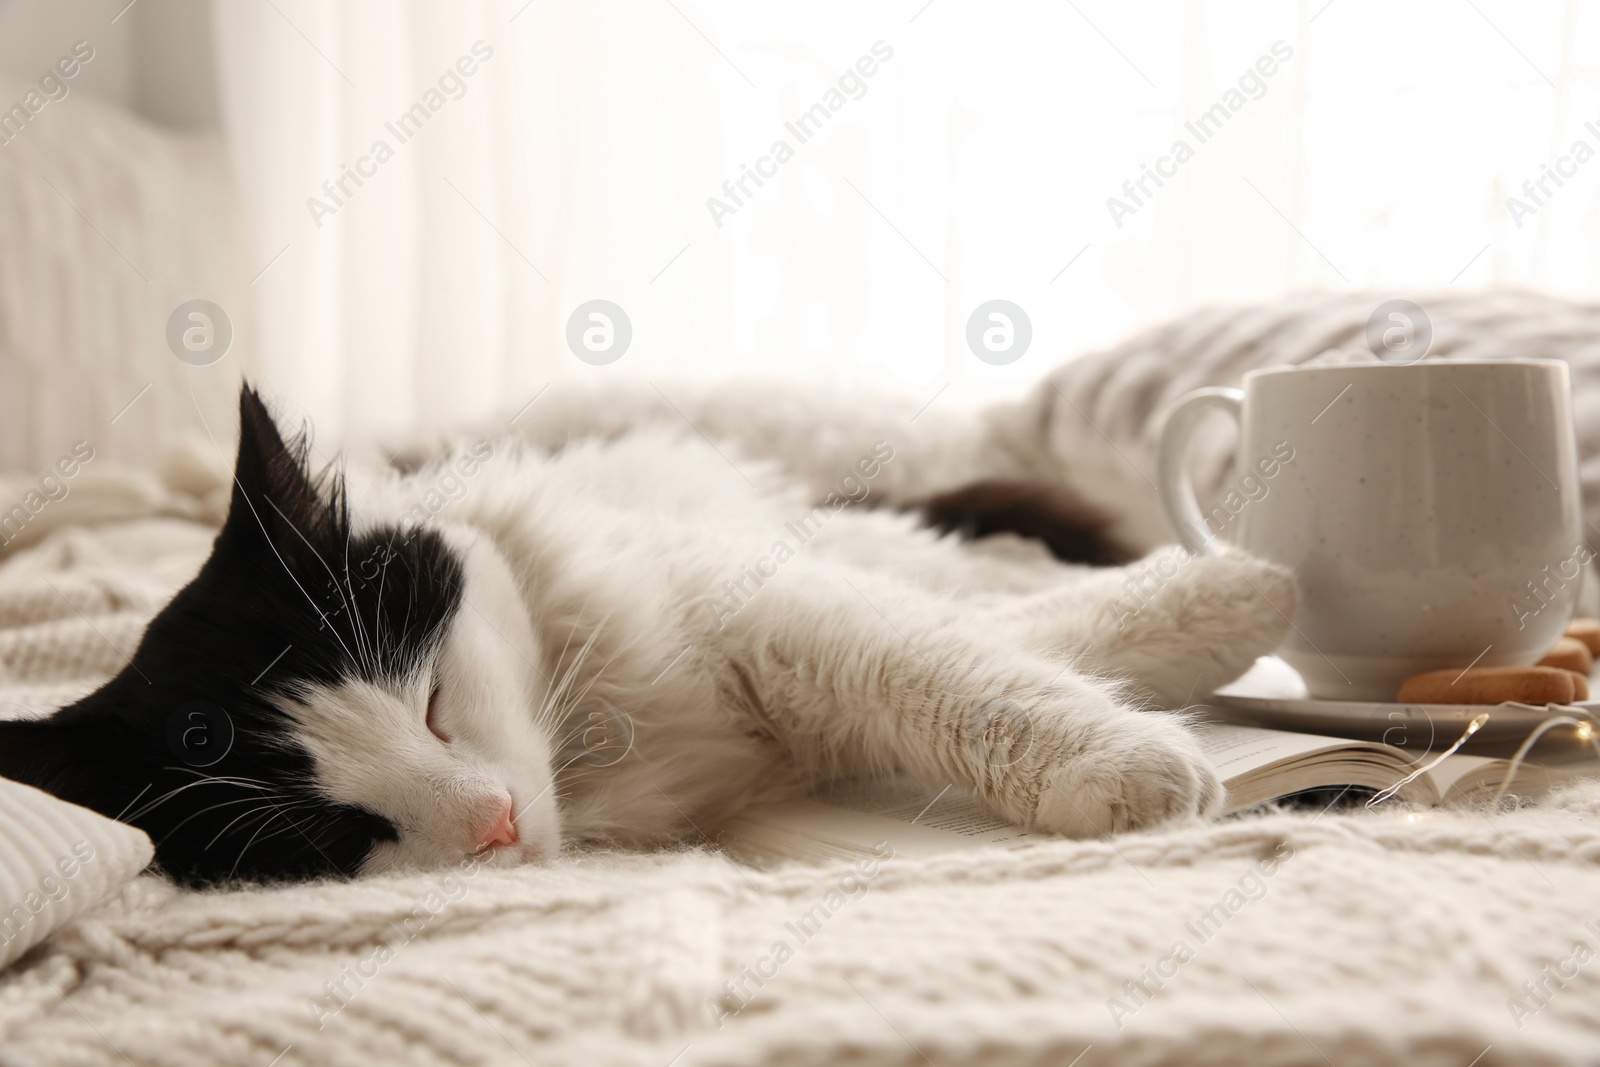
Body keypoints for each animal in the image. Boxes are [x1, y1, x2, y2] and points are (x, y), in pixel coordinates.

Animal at [0, 383, 1299, 883]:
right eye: (336, 832)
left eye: (431, 703)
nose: (495, 822)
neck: (594, 748)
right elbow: (989, 651)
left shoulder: (764, 609)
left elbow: (968, 663)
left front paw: (1225, 618)